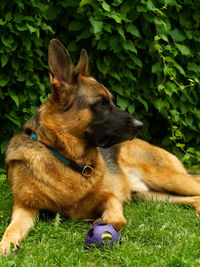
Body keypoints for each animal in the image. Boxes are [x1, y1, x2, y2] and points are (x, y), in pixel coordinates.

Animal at [1, 38, 200, 255]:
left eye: (111, 101)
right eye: (102, 103)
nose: (140, 125)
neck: (67, 159)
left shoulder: (111, 198)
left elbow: (117, 219)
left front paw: (100, 222)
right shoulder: (24, 206)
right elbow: (13, 227)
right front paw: (6, 243)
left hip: (167, 178)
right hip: (150, 195)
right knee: (194, 197)